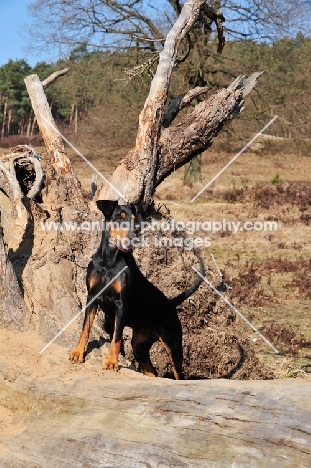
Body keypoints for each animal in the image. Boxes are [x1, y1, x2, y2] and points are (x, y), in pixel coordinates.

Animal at [71, 199, 206, 378]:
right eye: (119, 217)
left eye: (135, 220)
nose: (133, 235)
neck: (109, 261)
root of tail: (170, 304)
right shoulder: (92, 296)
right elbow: (85, 328)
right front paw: (78, 353)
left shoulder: (122, 304)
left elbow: (117, 336)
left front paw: (111, 362)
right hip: (140, 346)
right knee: (151, 372)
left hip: (173, 345)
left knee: (178, 375)